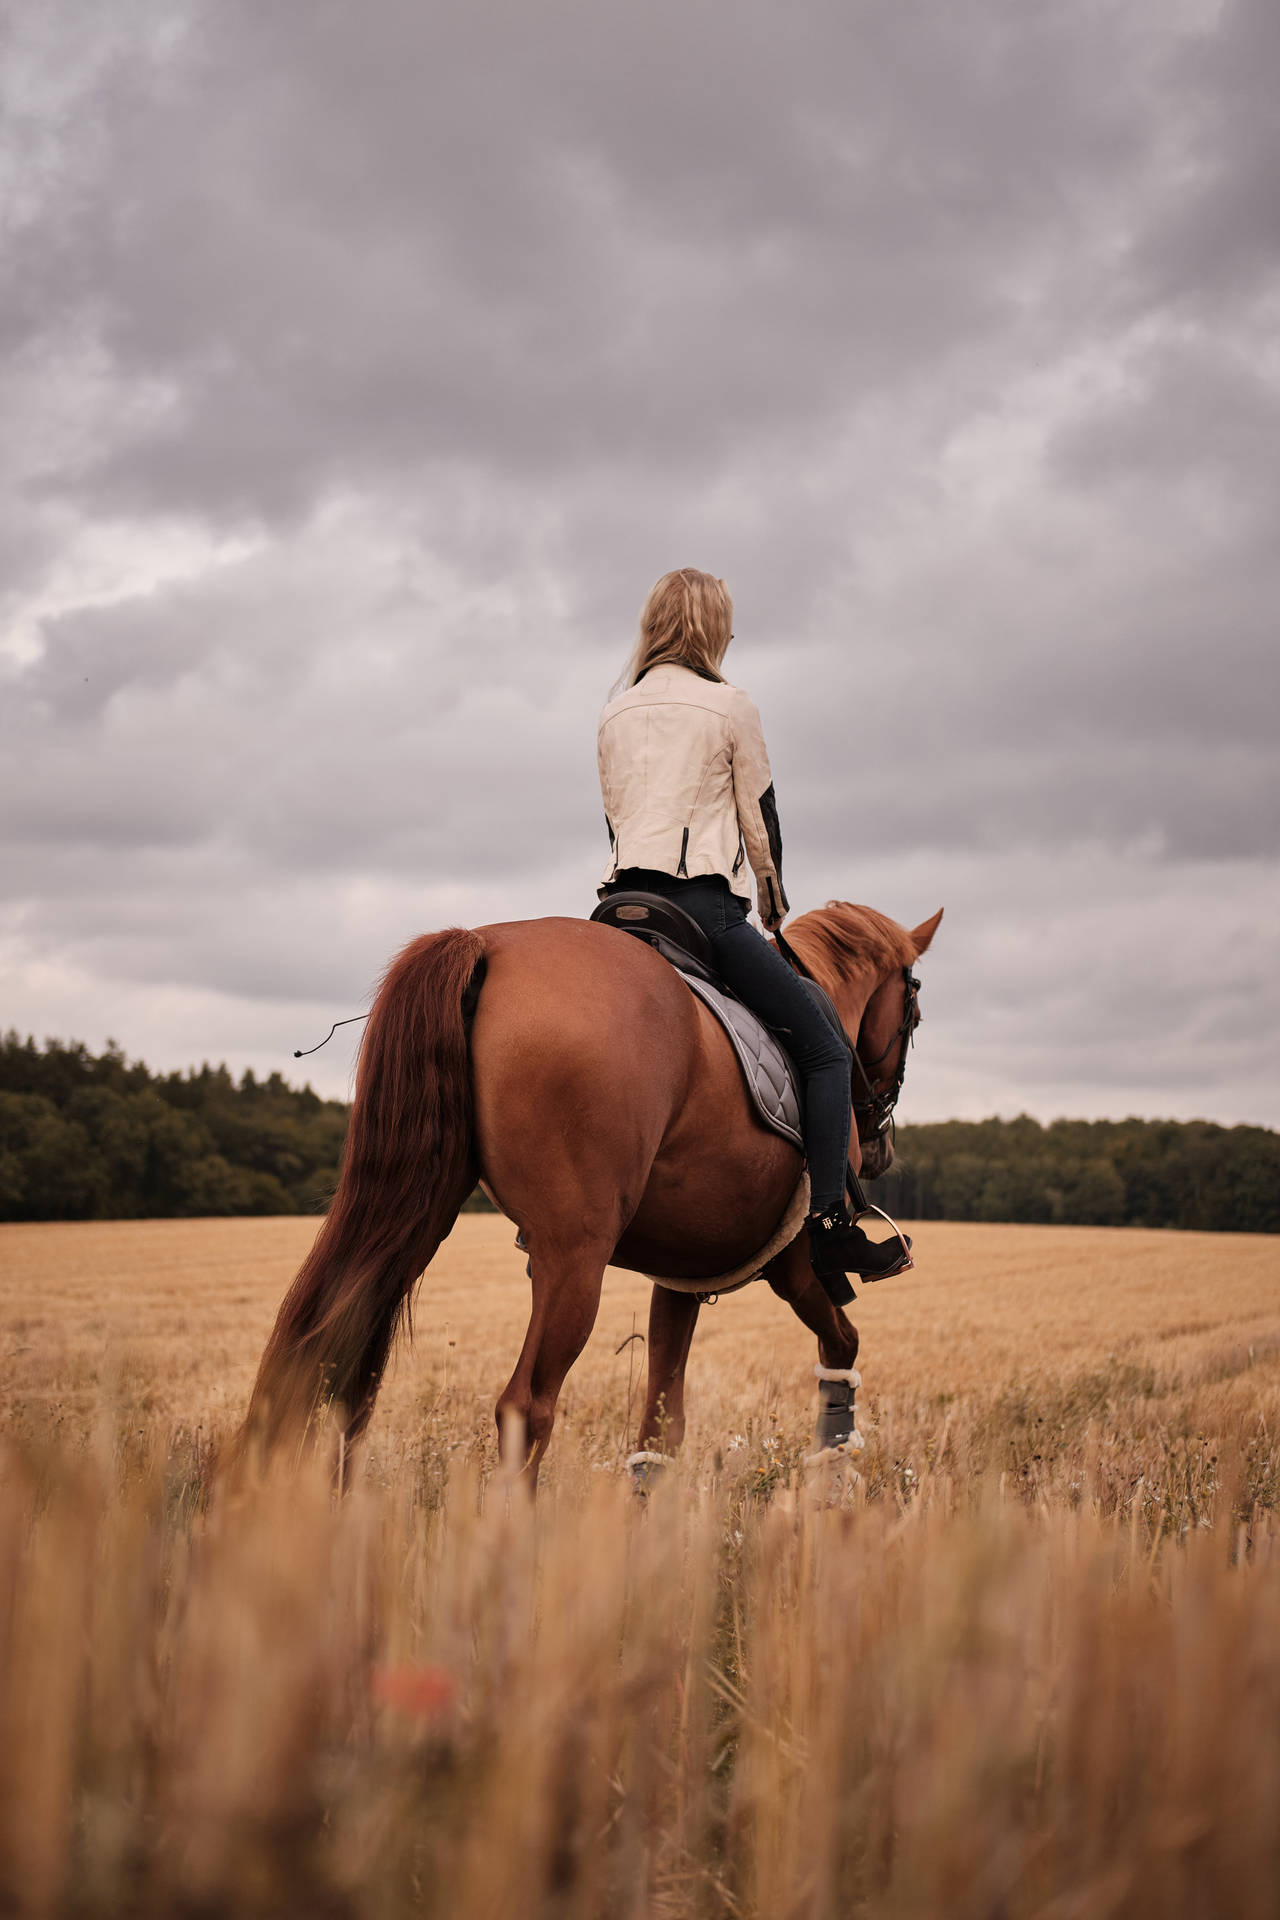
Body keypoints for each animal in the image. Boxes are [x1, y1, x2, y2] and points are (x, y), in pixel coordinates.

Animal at [242, 902, 940, 1482]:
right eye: (913, 1012)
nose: (882, 1147)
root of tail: (486, 944)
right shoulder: (796, 1265)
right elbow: (842, 1343)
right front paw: (834, 1464)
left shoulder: (682, 1274)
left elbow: (661, 1423)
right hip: (575, 1253)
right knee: (526, 1406)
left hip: (420, 1206)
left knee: (327, 1357)